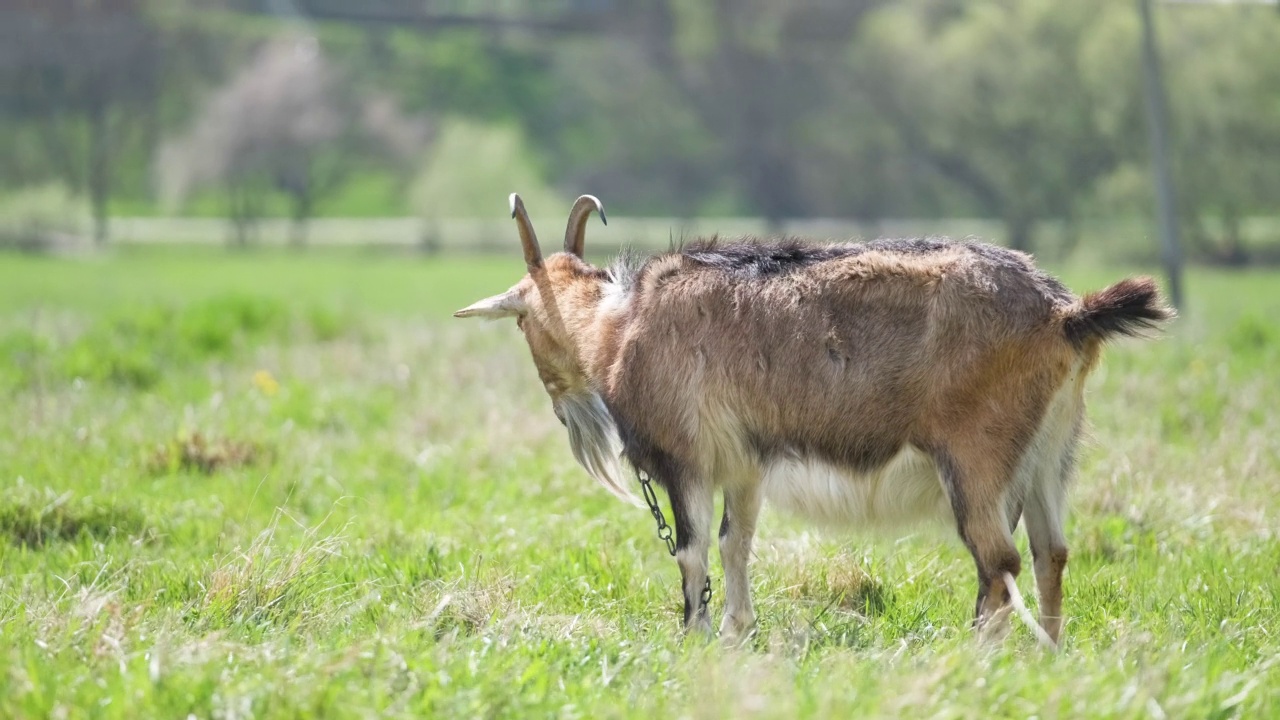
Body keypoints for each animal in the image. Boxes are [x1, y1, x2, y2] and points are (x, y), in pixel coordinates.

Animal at [455, 193, 1172, 640]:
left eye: (520, 320)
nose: (560, 403)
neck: (623, 321)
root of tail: (1065, 312)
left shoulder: (687, 460)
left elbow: (692, 551)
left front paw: (694, 635)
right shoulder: (744, 464)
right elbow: (735, 543)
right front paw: (738, 634)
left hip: (976, 462)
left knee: (999, 563)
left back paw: (974, 656)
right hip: (1051, 454)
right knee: (1052, 553)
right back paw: (1046, 656)